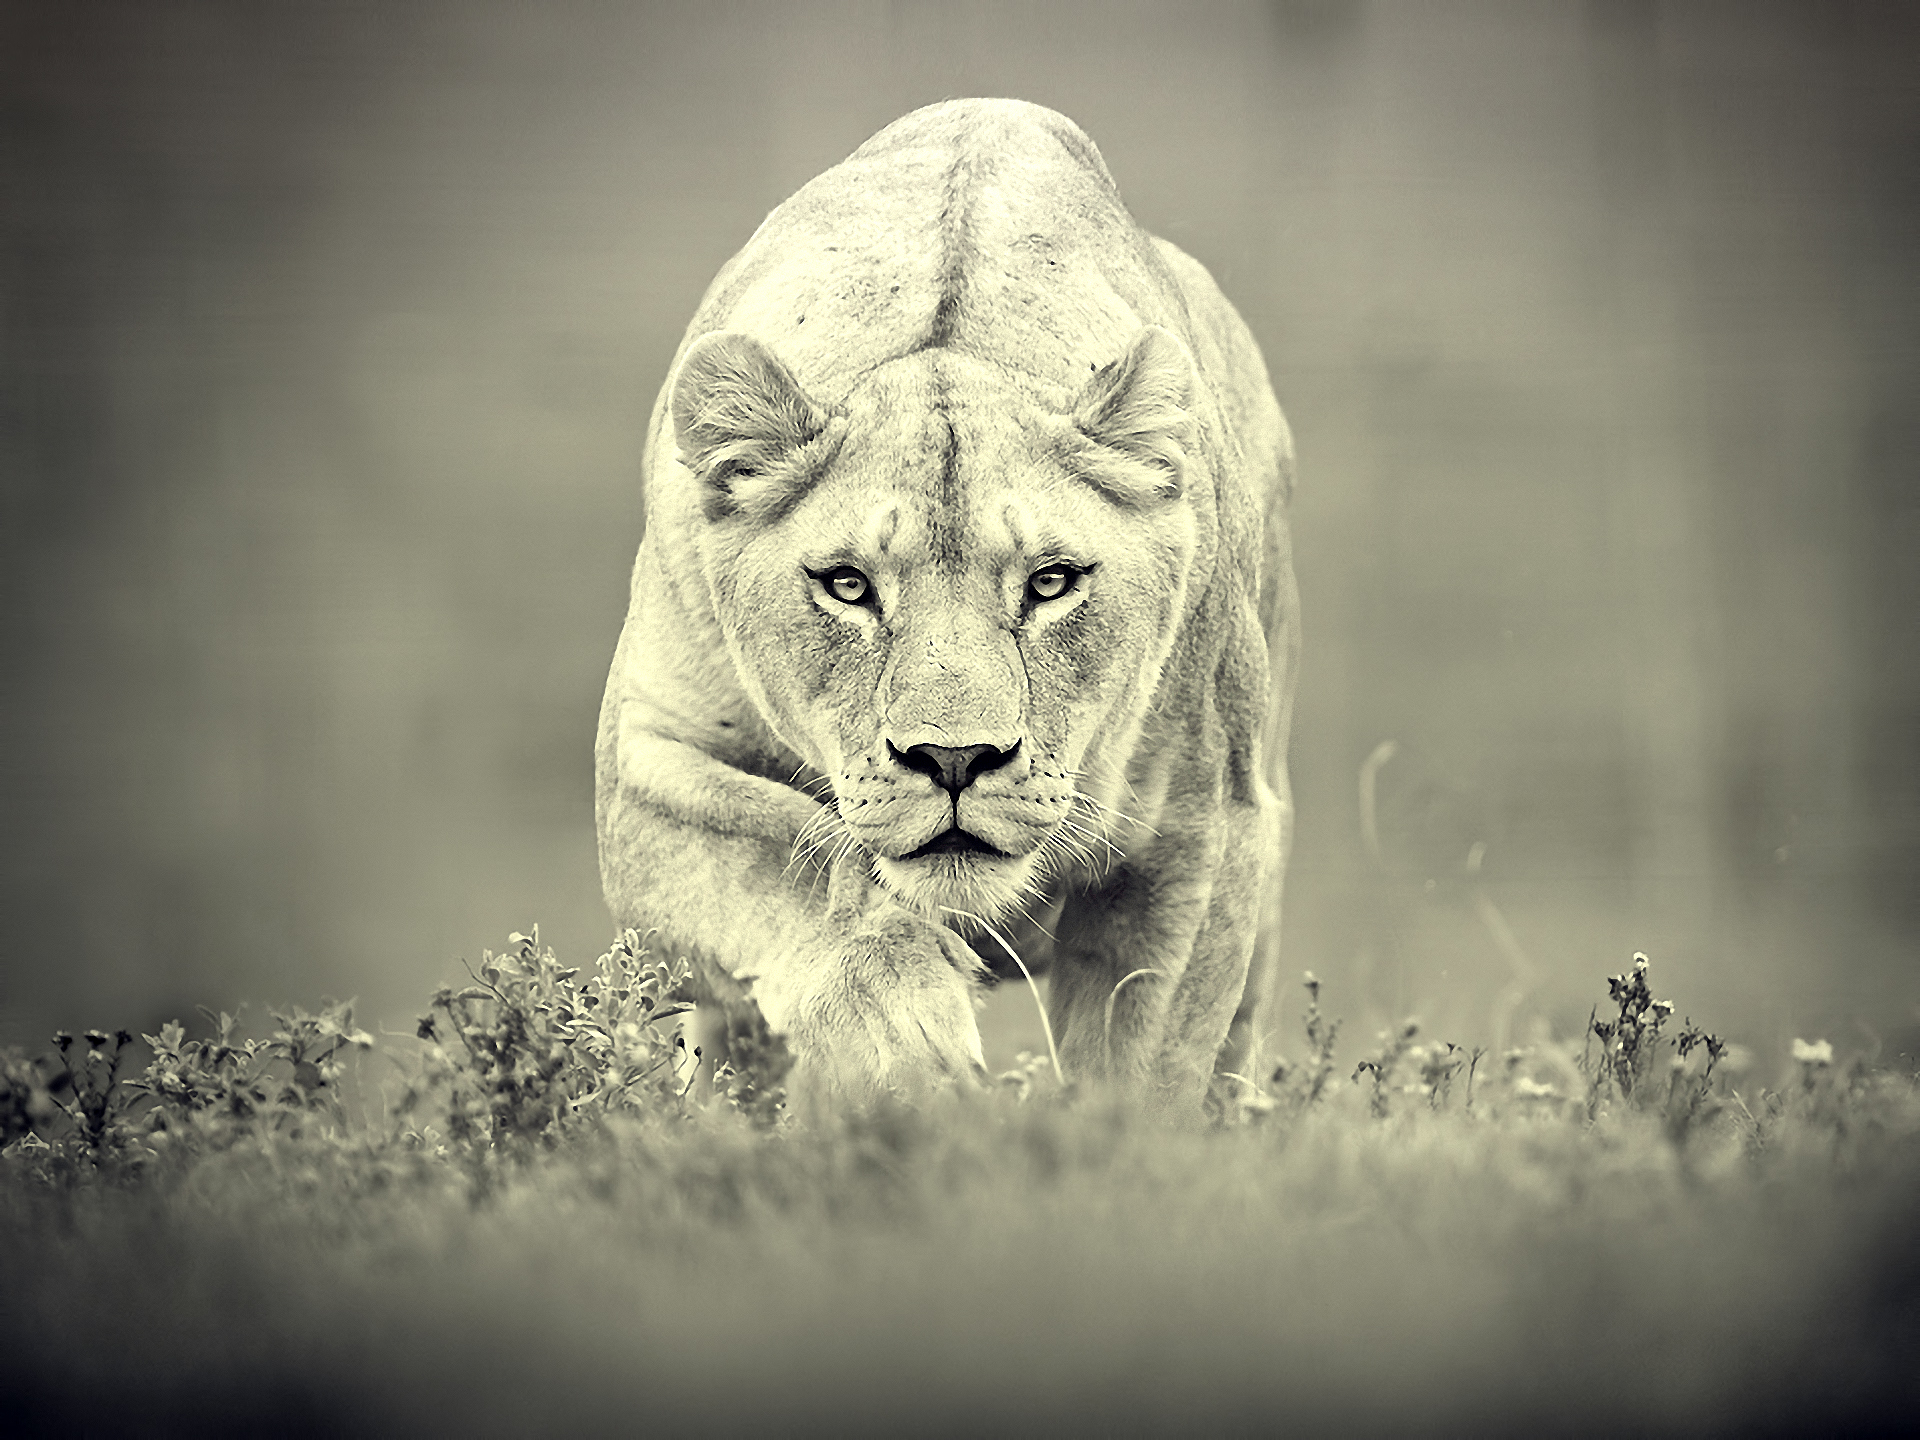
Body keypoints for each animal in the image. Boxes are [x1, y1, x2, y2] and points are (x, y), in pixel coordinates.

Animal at [595, 99, 1298, 1119]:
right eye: (848, 585)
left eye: (1051, 582)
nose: (955, 760)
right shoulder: (644, 765)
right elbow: (795, 856)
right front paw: (907, 1038)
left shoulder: (1205, 830)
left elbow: (1144, 1069)